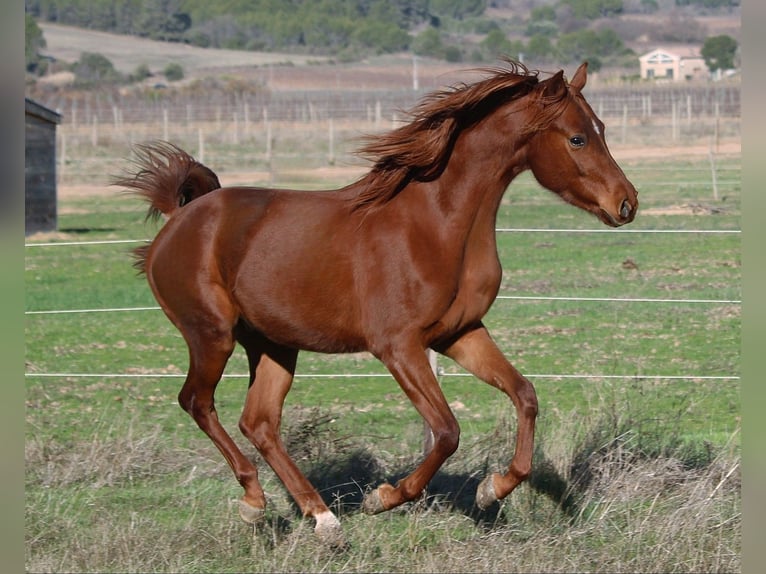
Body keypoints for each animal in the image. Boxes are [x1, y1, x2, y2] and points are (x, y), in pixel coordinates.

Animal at [118, 60, 636, 548]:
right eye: (577, 138)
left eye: (602, 129)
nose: (627, 203)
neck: (436, 225)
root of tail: (180, 218)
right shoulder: (398, 347)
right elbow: (446, 430)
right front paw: (383, 498)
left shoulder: (460, 334)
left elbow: (525, 396)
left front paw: (493, 489)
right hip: (212, 334)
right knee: (198, 402)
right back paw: (254, 501)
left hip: (274, 345)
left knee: (259, 422)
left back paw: (324, 521)